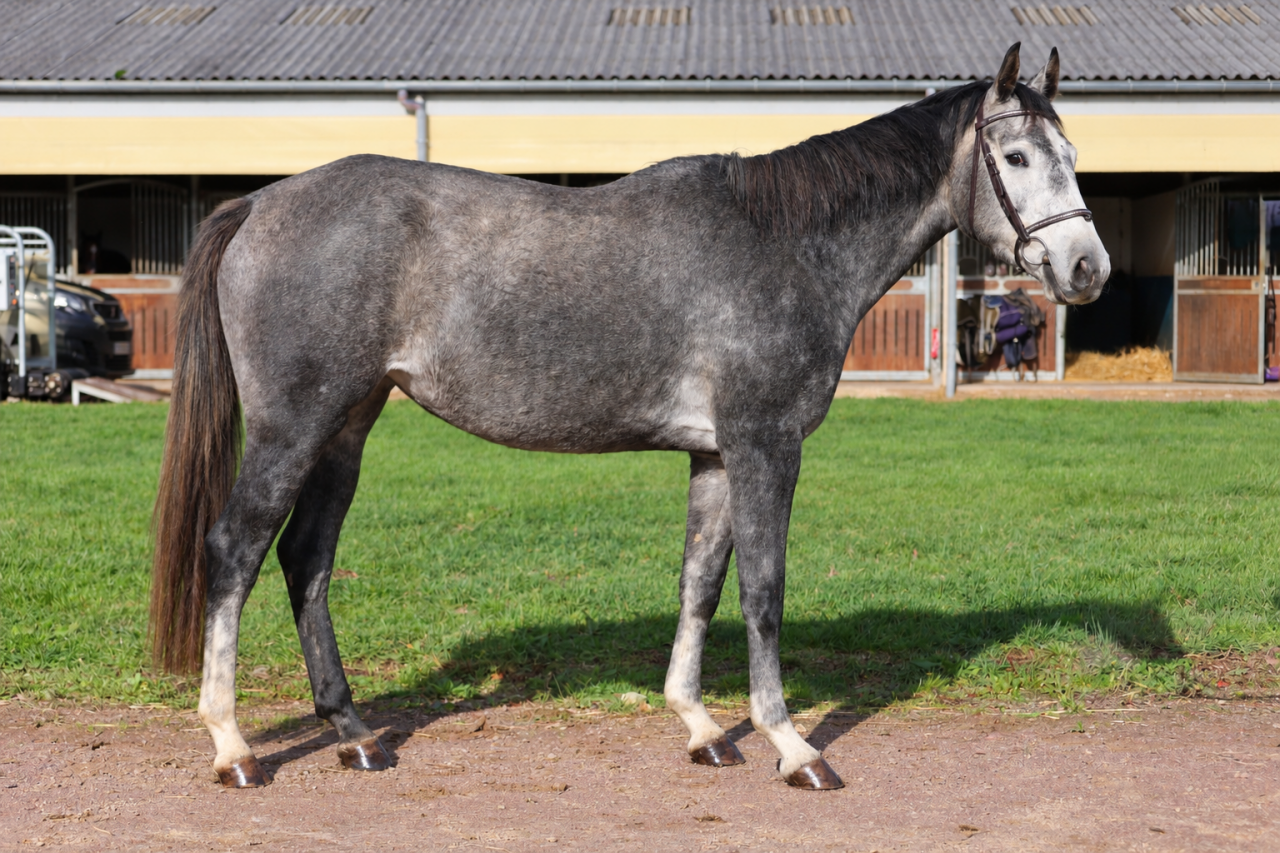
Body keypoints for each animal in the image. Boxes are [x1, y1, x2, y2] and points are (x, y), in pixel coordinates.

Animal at [151, 43, 1108, 791]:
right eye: (1016, 157)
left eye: (1071, 149)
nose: (1086, 267)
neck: (783, 243)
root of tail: (260, 203)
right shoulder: (766, 447)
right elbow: (763, 591)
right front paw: (793, 745)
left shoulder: (716, 455)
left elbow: (700, 582)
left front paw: (702, 728)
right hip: (292, 428)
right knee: (234, 551)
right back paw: (233, 745)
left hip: (347, 426)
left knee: (306, 561)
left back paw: (353, 735)